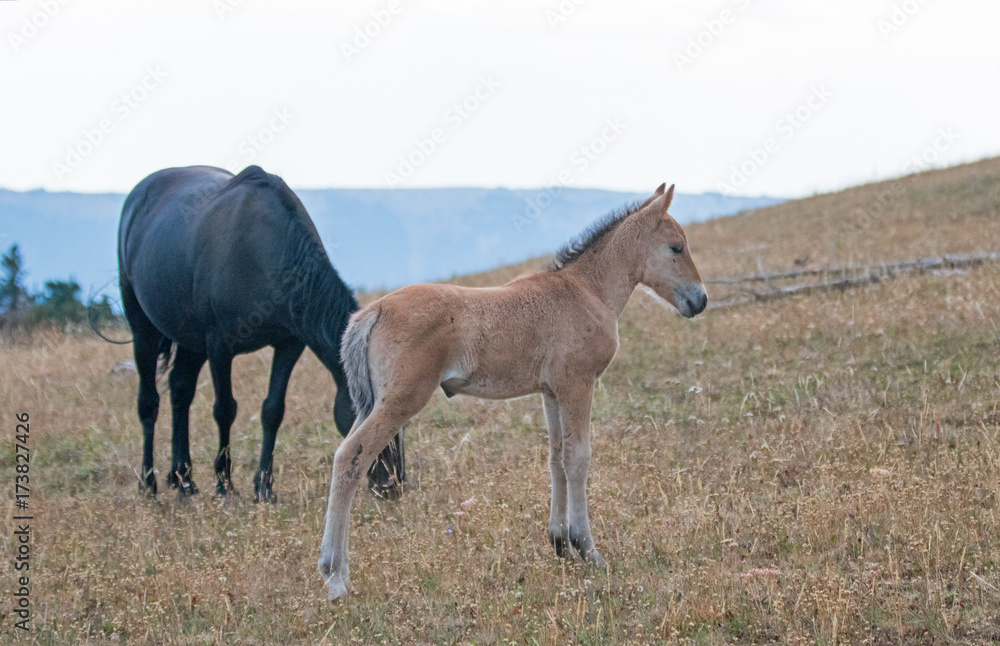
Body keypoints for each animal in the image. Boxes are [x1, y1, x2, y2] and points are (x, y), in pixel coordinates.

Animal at [118, 165, 404, 503]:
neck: (266, 253)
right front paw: (225, 485)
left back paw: (184, 479)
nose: (394, 484)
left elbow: (272, 410)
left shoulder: (289, 344)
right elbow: (224, 410)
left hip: (190, 341)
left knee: (181, 392)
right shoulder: (219, 347)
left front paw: (264, 487)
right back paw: (149, 482)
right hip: (144, 329)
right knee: (149, 401)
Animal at [318, 183, 707, 599]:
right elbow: (579, 459)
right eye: (676, 247)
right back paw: (336, 579)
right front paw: (589, 550)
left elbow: (557, 458)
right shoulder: (578, 383)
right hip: (401, 401)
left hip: (372, 402)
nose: (700, 300)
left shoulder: (551, 392)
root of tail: (371, 313)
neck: (586, 292)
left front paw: (561, 545)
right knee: (351, 458)